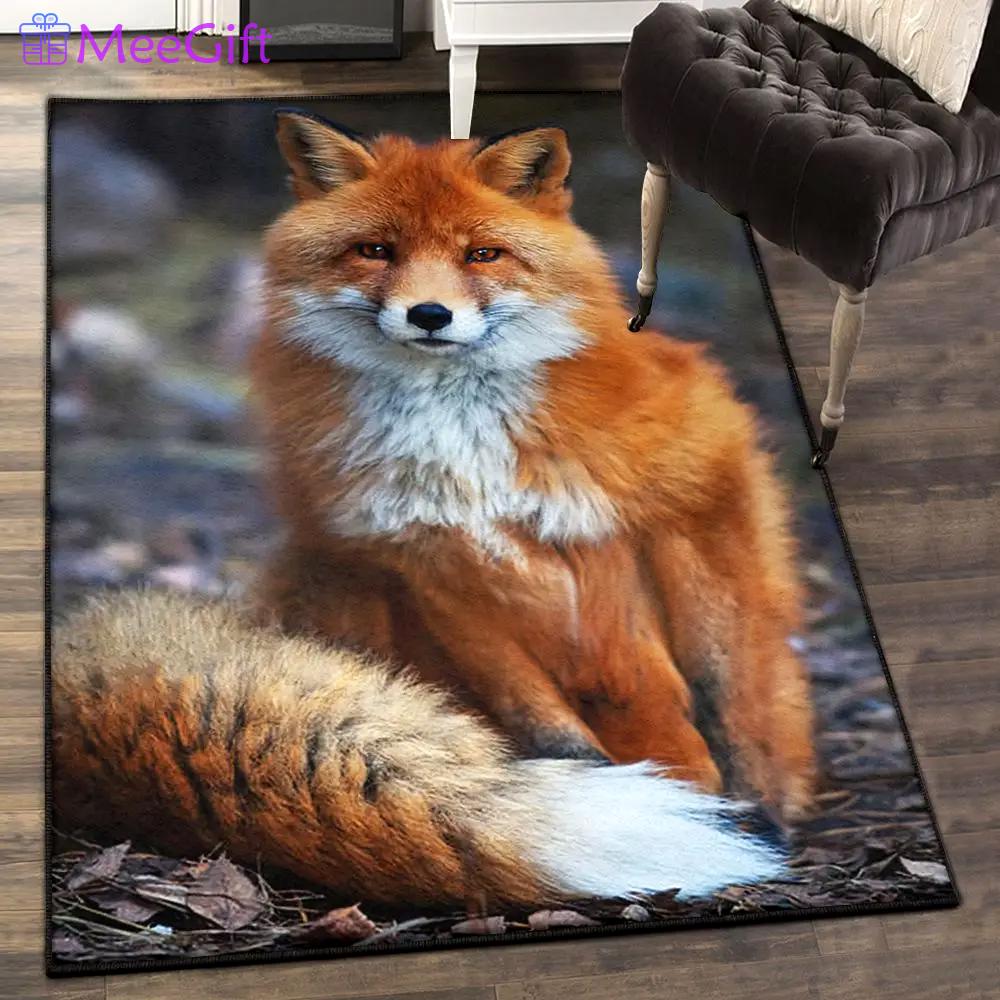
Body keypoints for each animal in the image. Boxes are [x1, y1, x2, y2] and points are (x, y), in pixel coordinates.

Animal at [51, 112, 817, 909]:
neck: (461, 443)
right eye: (375, 251)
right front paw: (601, 781)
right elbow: (536, 714)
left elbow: (723, 681)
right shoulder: (424, 560)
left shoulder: (697, 483)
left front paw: (754, 800)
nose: (429, 315)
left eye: (482, 254)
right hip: (331, 576)